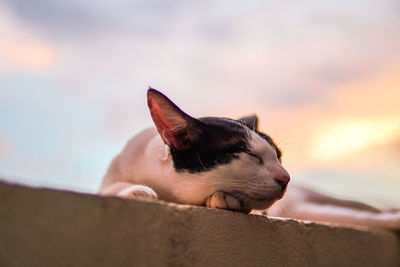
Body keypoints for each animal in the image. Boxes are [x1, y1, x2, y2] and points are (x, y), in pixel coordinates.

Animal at [98, 88, 398, 230]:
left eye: (279, 157)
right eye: (250, 155)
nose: (286, 177)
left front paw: (225, 200)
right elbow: (115, 187)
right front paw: (139, 191)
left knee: (370, 215)